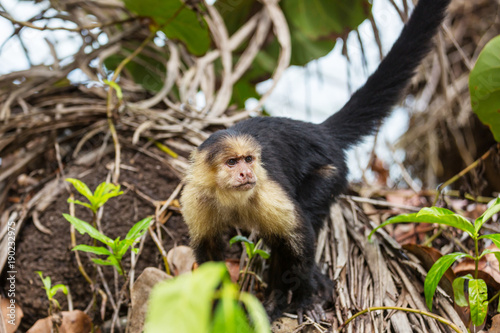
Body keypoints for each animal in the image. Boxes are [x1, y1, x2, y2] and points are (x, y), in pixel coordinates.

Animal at [181, 0, 454, 322]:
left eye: (248, 159)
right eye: (232, 163)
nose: (247, 173)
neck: (230, 198)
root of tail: (319, 131)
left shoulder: (266, 192)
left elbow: (299, 236)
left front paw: (305, 297)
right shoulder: (197, 199)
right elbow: (209, 253)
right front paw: (215, 307)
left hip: (332, 170)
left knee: (300, 223)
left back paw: (287, 295)